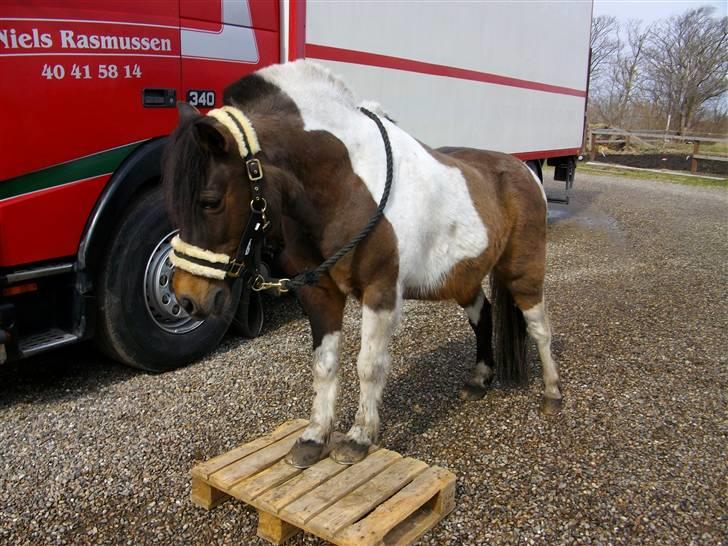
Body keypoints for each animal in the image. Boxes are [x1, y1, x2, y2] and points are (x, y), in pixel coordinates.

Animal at [165, 60, 564, 468]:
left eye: (211, 200)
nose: (187, 298)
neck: (346, 185)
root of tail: (523, 169)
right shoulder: (318, 292)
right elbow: (324, 364)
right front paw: (314, 436)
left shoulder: (380, 291)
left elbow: (369, 365)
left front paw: (359, 437)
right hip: (463, 277)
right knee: (483, 317)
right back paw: (479, 379)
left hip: (523, 271)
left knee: (539, 327)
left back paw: (551, 394)